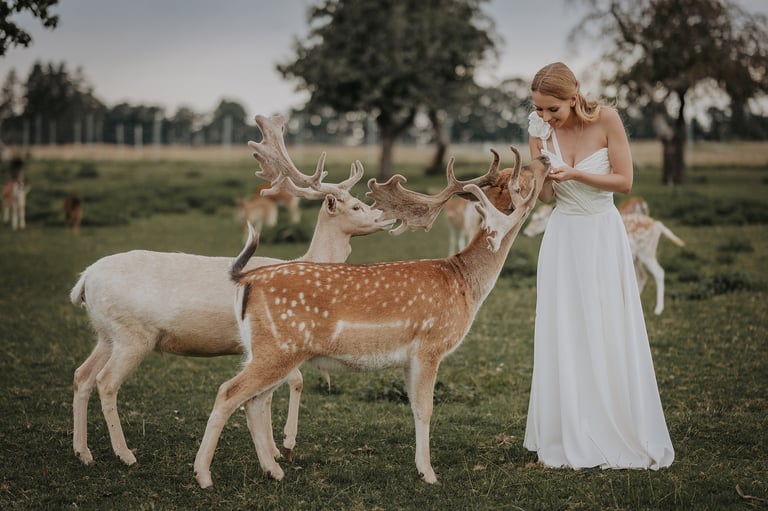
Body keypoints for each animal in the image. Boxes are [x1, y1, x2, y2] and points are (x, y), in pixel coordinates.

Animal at [70, 115, 394, 468]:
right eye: (356, 206)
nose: (386, 216)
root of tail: (84, 279)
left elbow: (270, 392)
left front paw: (274, 449)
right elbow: (294, 381)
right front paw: (286, 445)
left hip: (106, 334)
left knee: (82, 376)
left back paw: (83, 451)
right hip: (133, 336)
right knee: (106, 382)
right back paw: (125, 454)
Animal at [192, 147, 551, 488]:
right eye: (523, 178)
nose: (545, 160)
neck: (464, 282)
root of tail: (245, 280)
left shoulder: (409, 358)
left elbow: (414, 407)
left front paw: (422, 468)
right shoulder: (430, 345)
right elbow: (426, 408)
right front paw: (428, 473)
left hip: (269, 350)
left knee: (253, 401)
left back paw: (274, 470)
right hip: (278, 348)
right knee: (229, 392)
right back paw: (204, 476)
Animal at [523, 203, 685, 315]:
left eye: (540, 218)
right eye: (532, 216)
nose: (526, 232)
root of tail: (658, 225)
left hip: (647, 252)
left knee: (659, 272)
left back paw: (658, 309)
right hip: (637, 256)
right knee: (642, 276)